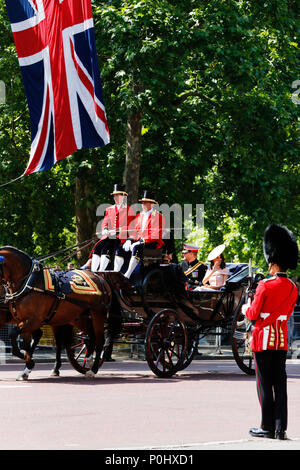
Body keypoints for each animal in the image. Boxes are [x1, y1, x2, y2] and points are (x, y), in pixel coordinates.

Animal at [0, 248, 111, 380]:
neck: (29, 282)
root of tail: (100, 278)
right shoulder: (23, 321)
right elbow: (25, 345)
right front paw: (27, 367)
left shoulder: (33, 320)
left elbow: (14, 336)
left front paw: (29, 362)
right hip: (78, 318)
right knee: (90, 337)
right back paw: (87, 361)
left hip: (97, 314)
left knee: (99, 340)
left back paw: (92, 370)